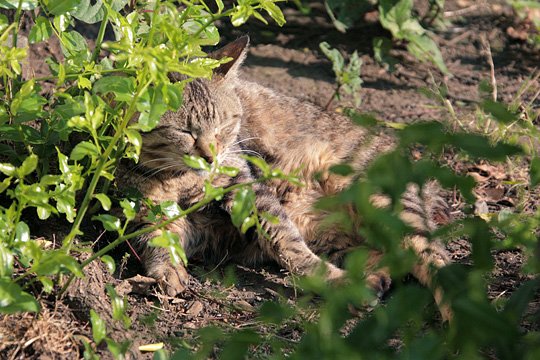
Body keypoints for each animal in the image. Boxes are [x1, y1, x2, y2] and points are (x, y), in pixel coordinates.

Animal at [118, 35, 452, 318]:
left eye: (224, 126)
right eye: (185, 131)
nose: (211, 156)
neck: (180, 178)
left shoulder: (248, 190)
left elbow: (287, 244)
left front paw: (330, 279)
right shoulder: (144, 210)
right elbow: (157, 237)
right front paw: (167, 269)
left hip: (385, 203)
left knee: (438, 263)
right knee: (386, 258)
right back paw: (372, 281)